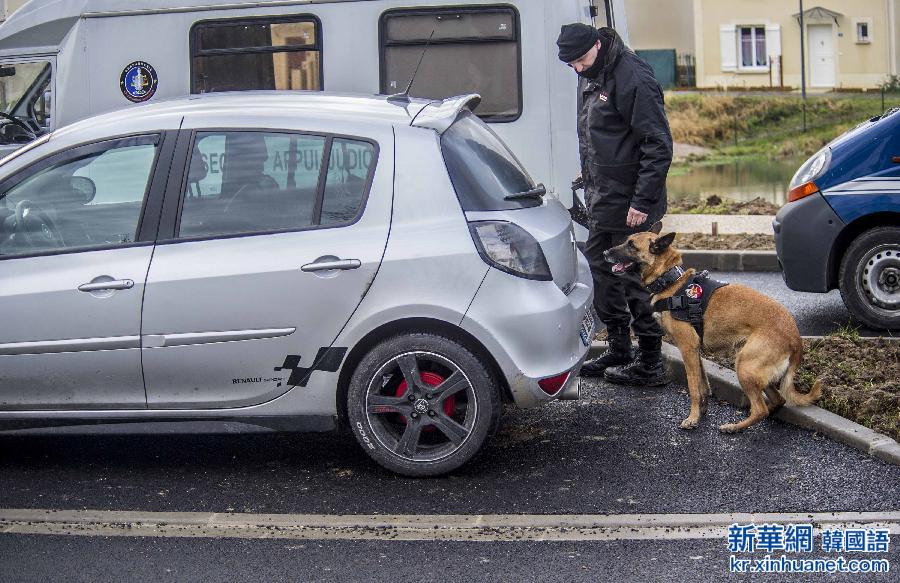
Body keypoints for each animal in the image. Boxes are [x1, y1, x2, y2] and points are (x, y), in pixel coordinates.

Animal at [604, 229, 824, 434]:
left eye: (631, 245)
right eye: (626, 241)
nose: (605, 252)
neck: (671, 281)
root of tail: (795, 337)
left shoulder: (688, 348)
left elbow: (693, 387)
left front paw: (692, 418)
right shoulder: (696, 351)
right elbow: (703, 385)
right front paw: (701, 412)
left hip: (744, 366)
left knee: (760, 409)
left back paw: (734, 427)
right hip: (755, 369)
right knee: (777, 401)